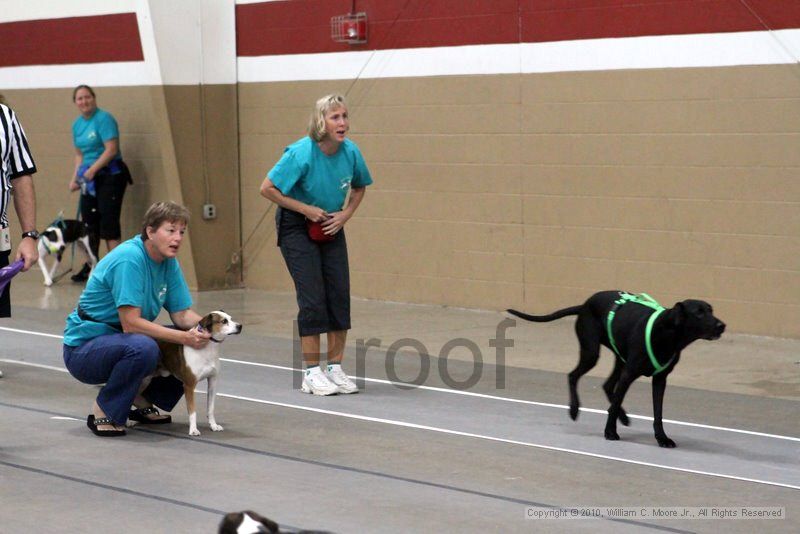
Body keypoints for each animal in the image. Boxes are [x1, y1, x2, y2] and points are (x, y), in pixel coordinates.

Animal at [510, 294, 728, 448]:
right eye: (699, 312)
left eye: (711, 310)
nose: (722, 325)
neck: (667, 332)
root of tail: (585, 304)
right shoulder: (630, 374)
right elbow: (615, 405)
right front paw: (609, 432)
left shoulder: (660, 379)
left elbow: (657, 413)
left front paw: (662, 438)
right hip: (592, 352)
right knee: (574, 376)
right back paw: (574, 409)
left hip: (618, 359)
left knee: (607, 387)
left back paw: (622, 416)